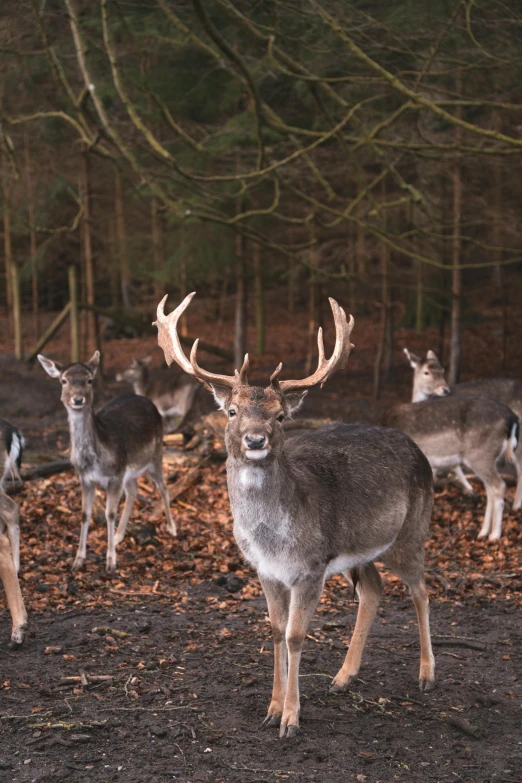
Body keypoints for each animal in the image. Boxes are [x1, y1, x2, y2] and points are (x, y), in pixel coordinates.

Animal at [38, 352, 177, 572]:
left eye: (89, 380)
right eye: (63, 380)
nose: (78, 399)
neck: (95, 460)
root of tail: (147, 400)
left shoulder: (115, 475)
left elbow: (109, 513)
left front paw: (111, 561)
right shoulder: (85, 478)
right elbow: (85, 514)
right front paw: (78, 560)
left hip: (155, 455)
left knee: (163, 487)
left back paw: (172, 528)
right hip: (130, 470)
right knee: (133, 490)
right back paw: (120, 535)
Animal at [154, 294, 434, 740]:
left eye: (281, 415)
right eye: (232, 411)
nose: (255, 439)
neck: (274, 539)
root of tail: (422, 455)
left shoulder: (311, 566)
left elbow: (296, 635)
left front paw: (290, 718)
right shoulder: (265, 570)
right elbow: (274, 631)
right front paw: (270, 708)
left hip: (411, 532)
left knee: (420, 589)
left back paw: (426, 674)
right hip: (361, 551)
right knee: (373, 590)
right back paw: (343, 677)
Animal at [384, 350, 516, 544]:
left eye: (442, 370)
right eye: (426, 372)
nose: (445, 389)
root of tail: (512, 418)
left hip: (481, 455)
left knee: (499, 485)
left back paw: (495, 534)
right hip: (487, 457)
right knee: (490, 488)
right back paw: (483, 531)